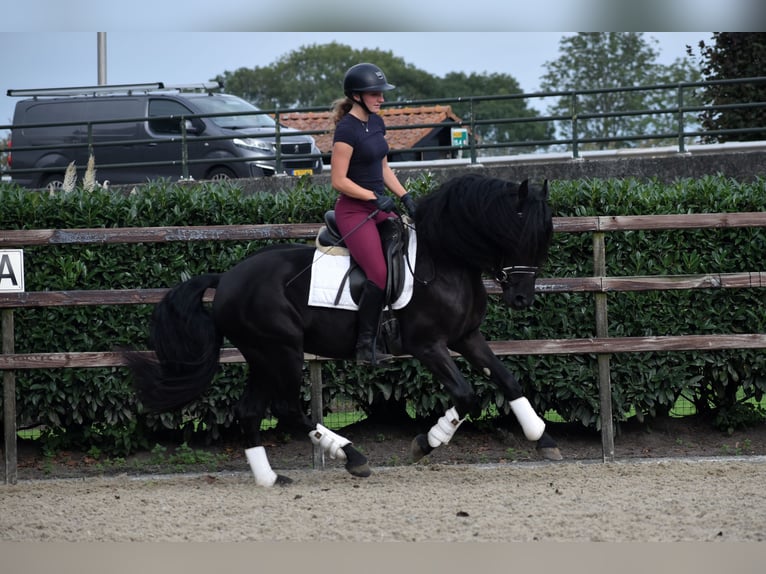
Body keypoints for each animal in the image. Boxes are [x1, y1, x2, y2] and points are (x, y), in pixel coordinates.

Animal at [127, 174, 564, 486]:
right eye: (516, 235)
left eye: (544, 239)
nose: (522, 298)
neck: (444, 259)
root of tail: (228, 278)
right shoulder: (428, 345)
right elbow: (467, 394)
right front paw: (427, 442)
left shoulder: (465, 337)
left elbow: (507, 379)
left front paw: (543, 438)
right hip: (281, 351)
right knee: (285, 408)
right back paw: (351, 456)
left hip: (263, 356)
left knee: (251, 410)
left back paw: (270, 478)